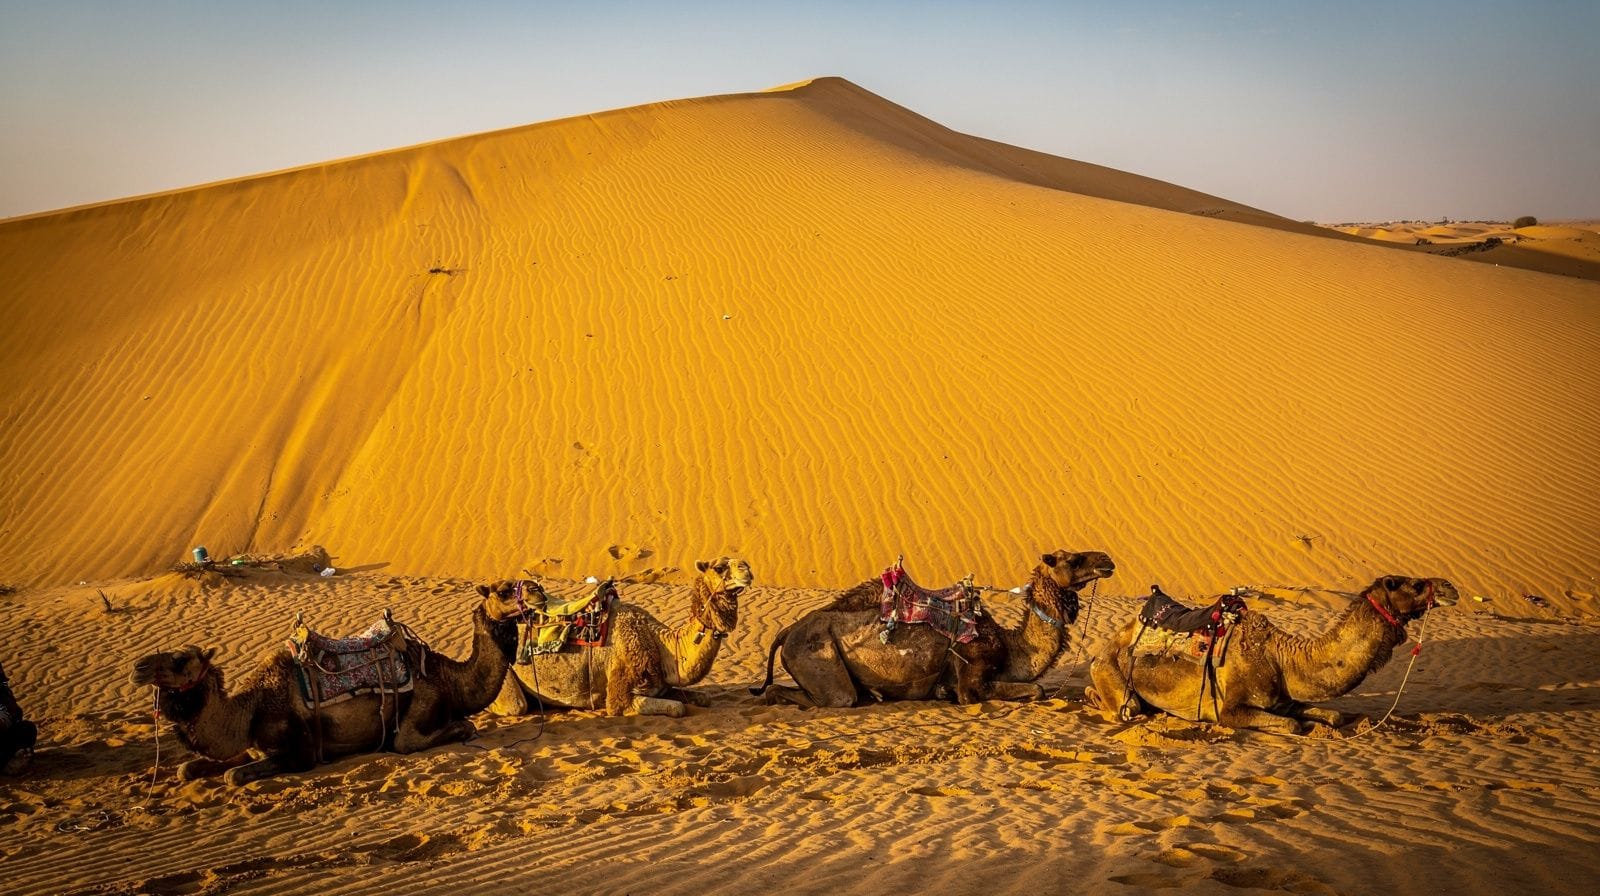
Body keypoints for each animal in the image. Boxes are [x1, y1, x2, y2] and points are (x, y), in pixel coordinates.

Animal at [488, 557, 754, 718]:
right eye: (719, 567)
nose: (747, 568)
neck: (661, 645)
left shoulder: (662, 685)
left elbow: (703, 698)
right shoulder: (619, 694)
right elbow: (678, 709)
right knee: (515, 705)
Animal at [752, 550, 1116, 708]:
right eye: (1073, 559)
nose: (1107, 560)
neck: (1012, 646)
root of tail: (786, 632)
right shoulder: (972, 675)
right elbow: (1036, 689)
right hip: (815, 654)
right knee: (831, 696)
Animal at [1084, 575, 1457, 734]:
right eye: (1412, 584)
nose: (1451, 587)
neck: (1282, 658)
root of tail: (1109, 643)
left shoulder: (1285, 699)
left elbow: (1332, 716)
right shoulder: (1229, 710)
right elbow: (1293, 726)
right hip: (1112, 674)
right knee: (1122, 705)